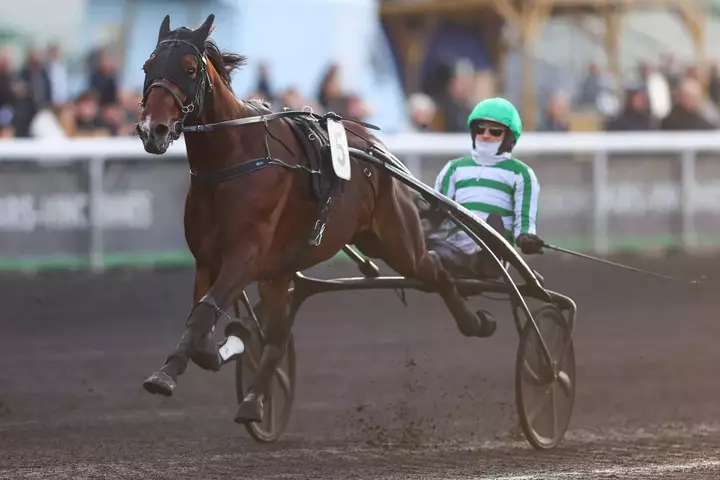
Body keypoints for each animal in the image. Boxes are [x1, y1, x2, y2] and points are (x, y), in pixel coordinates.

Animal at [136, 13, 496, 424]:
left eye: (190, 68)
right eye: (147, 67)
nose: (152, 129)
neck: (233, 159)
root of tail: (374, 145)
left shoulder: (245, 258)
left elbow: (202, 316)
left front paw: (165, 375)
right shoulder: (209, 259)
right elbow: (202, 324)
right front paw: (228, 343)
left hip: (396, 239)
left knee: (434, 269)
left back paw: (476, 322)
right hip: (283, 270)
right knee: (277, 336)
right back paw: (254, 401)